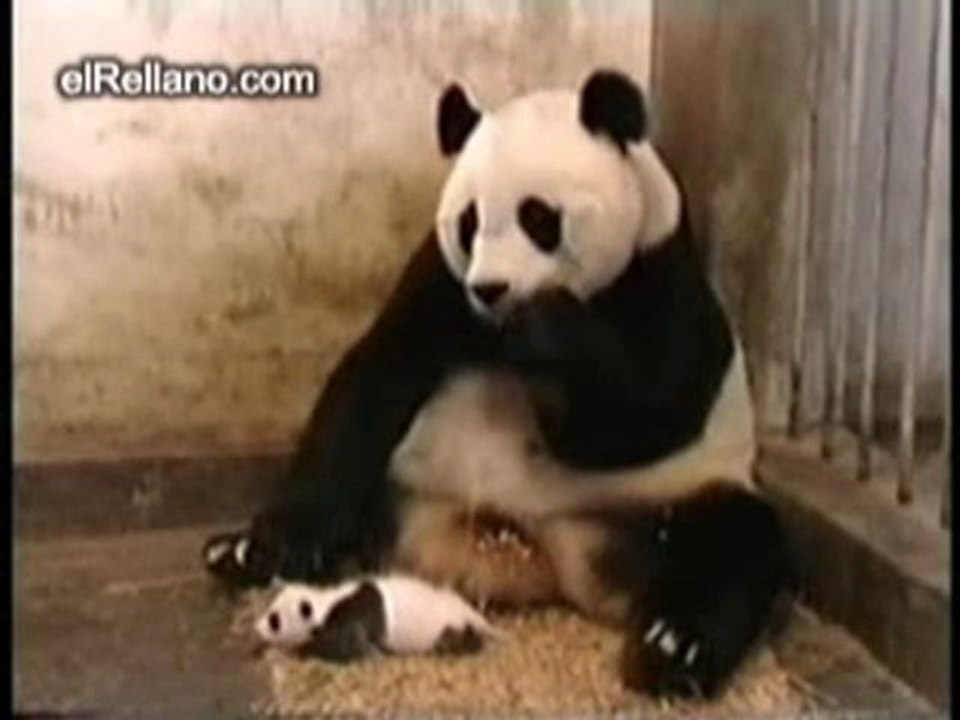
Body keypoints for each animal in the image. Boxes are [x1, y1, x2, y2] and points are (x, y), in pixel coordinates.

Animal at [204, 69, 790, 700]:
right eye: (470, 222)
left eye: (539, 217)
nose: (492, 289)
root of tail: (532, 554)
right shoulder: (440, 279)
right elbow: (376, 376)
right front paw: (277, 541)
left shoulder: (661, 272)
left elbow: (647, 413)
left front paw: (547, 331)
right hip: (405, 485)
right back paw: (239, 553)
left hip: (661, 500)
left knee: (733, 542)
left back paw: (672, 646)